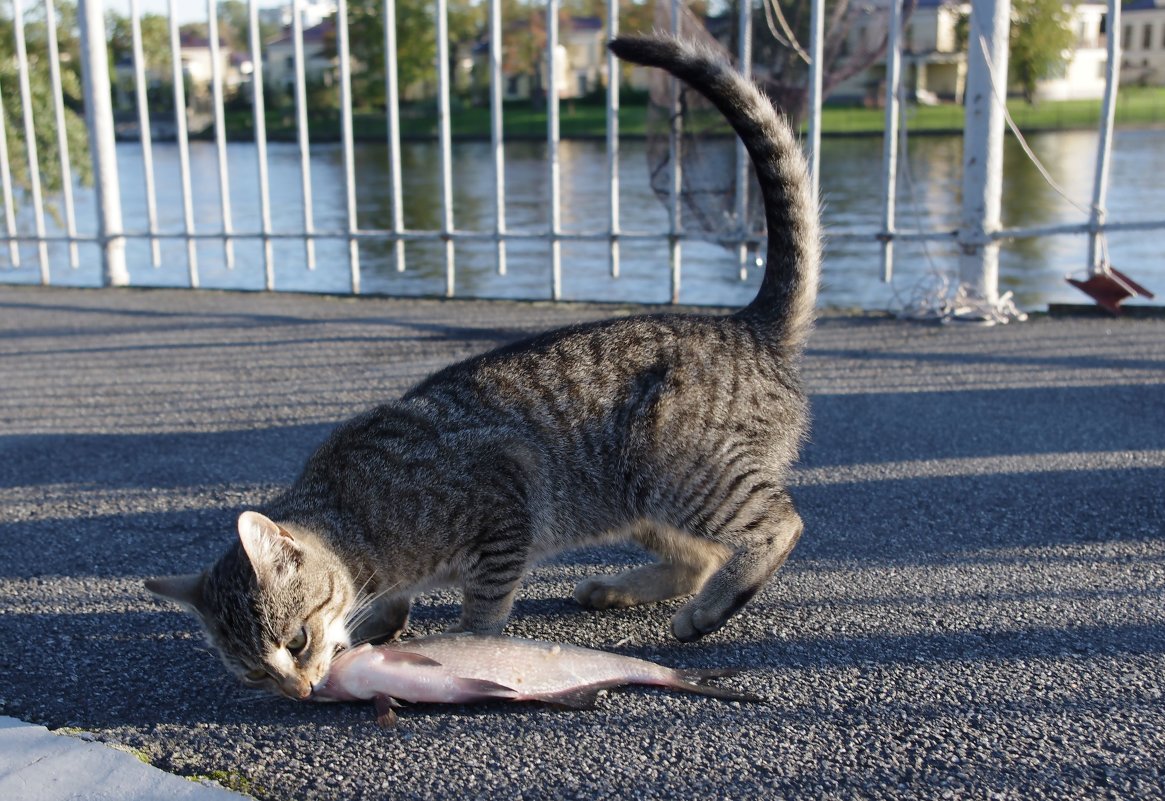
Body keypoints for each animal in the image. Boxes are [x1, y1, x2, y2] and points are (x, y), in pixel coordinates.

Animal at [145, 35, 820, 698]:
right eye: (256, 673)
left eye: (295, 640)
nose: (299, 690)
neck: (357, 520)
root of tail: (745, 324)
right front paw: (384, 620)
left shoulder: (502, 501)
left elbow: (485, 607)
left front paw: (468, 644)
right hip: (638, 496)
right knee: (697, 557)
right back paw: (629, 588)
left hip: (677, 469)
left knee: (779, 525)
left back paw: (709, 607)